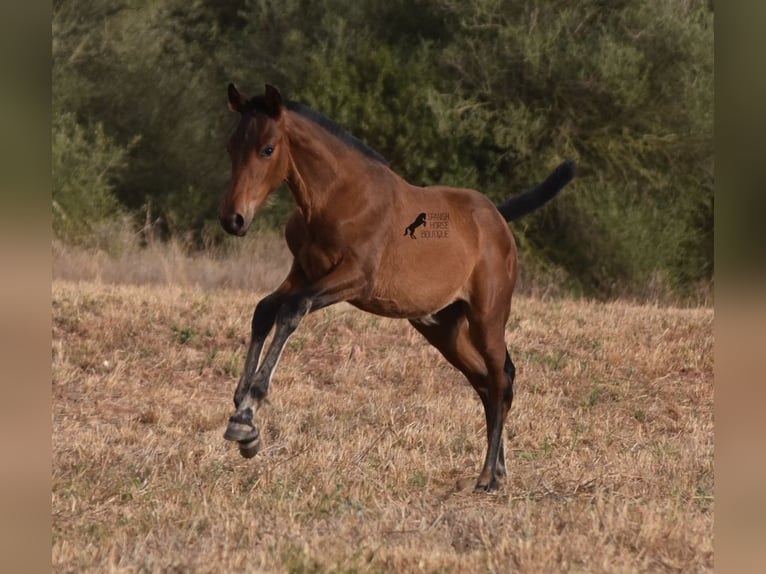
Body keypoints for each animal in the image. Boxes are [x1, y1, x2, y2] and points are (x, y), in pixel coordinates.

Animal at [219, 83, 572, 492]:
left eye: (267, 149)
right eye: (232, 146)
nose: (233, 219)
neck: (338, 198)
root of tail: (498, 218)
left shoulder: (354, 279)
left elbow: (293, 309)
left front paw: (249, 413)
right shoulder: (303, 272)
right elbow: (265, 309)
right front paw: (241, 419)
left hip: (488, 316)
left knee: (500, 378)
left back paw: (488, 478)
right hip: (443, 327)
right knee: (488, 380)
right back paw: (497, 469)